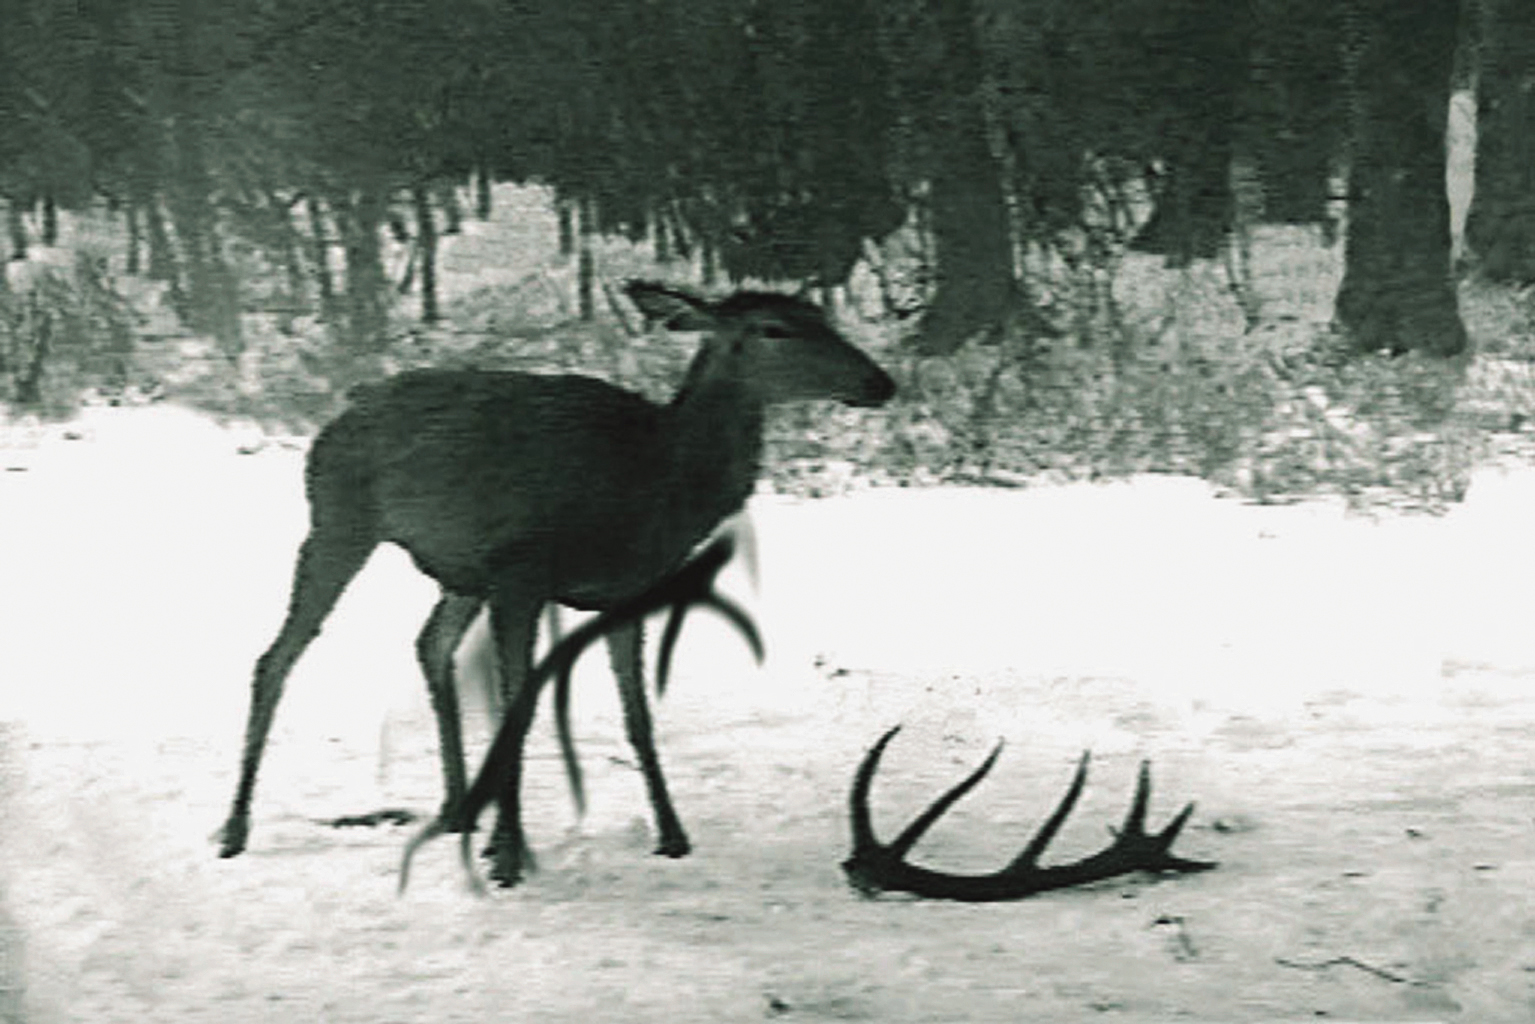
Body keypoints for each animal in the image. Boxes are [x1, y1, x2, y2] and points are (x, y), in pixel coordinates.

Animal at [218, 279, 896, 886]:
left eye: (823, 317)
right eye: (774, 329)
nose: (880, 382)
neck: (657, 486)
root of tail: (342, 409)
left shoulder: (626, 590)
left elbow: (638, 716)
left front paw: (672, 834)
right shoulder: (521, 573)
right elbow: (517, 710)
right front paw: (509, 855)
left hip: (459, 572)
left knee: (428, 644)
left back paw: (457, 810)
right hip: (338, 523)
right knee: (276, 657)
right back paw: (234, 829)